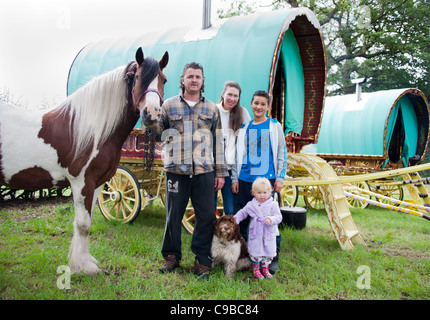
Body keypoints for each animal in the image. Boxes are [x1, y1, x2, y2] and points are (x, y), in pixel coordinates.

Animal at [0, 48, 168, 274]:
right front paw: (82, 266)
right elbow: (82, 224)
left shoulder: (96, 183)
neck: (92, 129)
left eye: (163, 80)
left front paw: (85, 261)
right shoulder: (81, 182)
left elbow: (87, 221)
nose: (151, 114)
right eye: (139, 78)